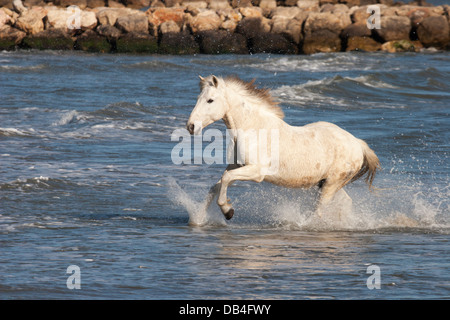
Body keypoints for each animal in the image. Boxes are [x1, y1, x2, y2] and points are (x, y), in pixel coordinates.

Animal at [186, 74, 380, 220]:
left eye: (210, 100)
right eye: (198, 98)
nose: (191, 126)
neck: (253, 128)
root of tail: (358, 144)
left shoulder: (256, 172)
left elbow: (226, 179)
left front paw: (228, 211)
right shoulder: (237, 166)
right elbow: (216, 186)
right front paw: (199, 219)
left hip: (331, 185)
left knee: (319, 211)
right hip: (327, 184)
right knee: (345, 203)